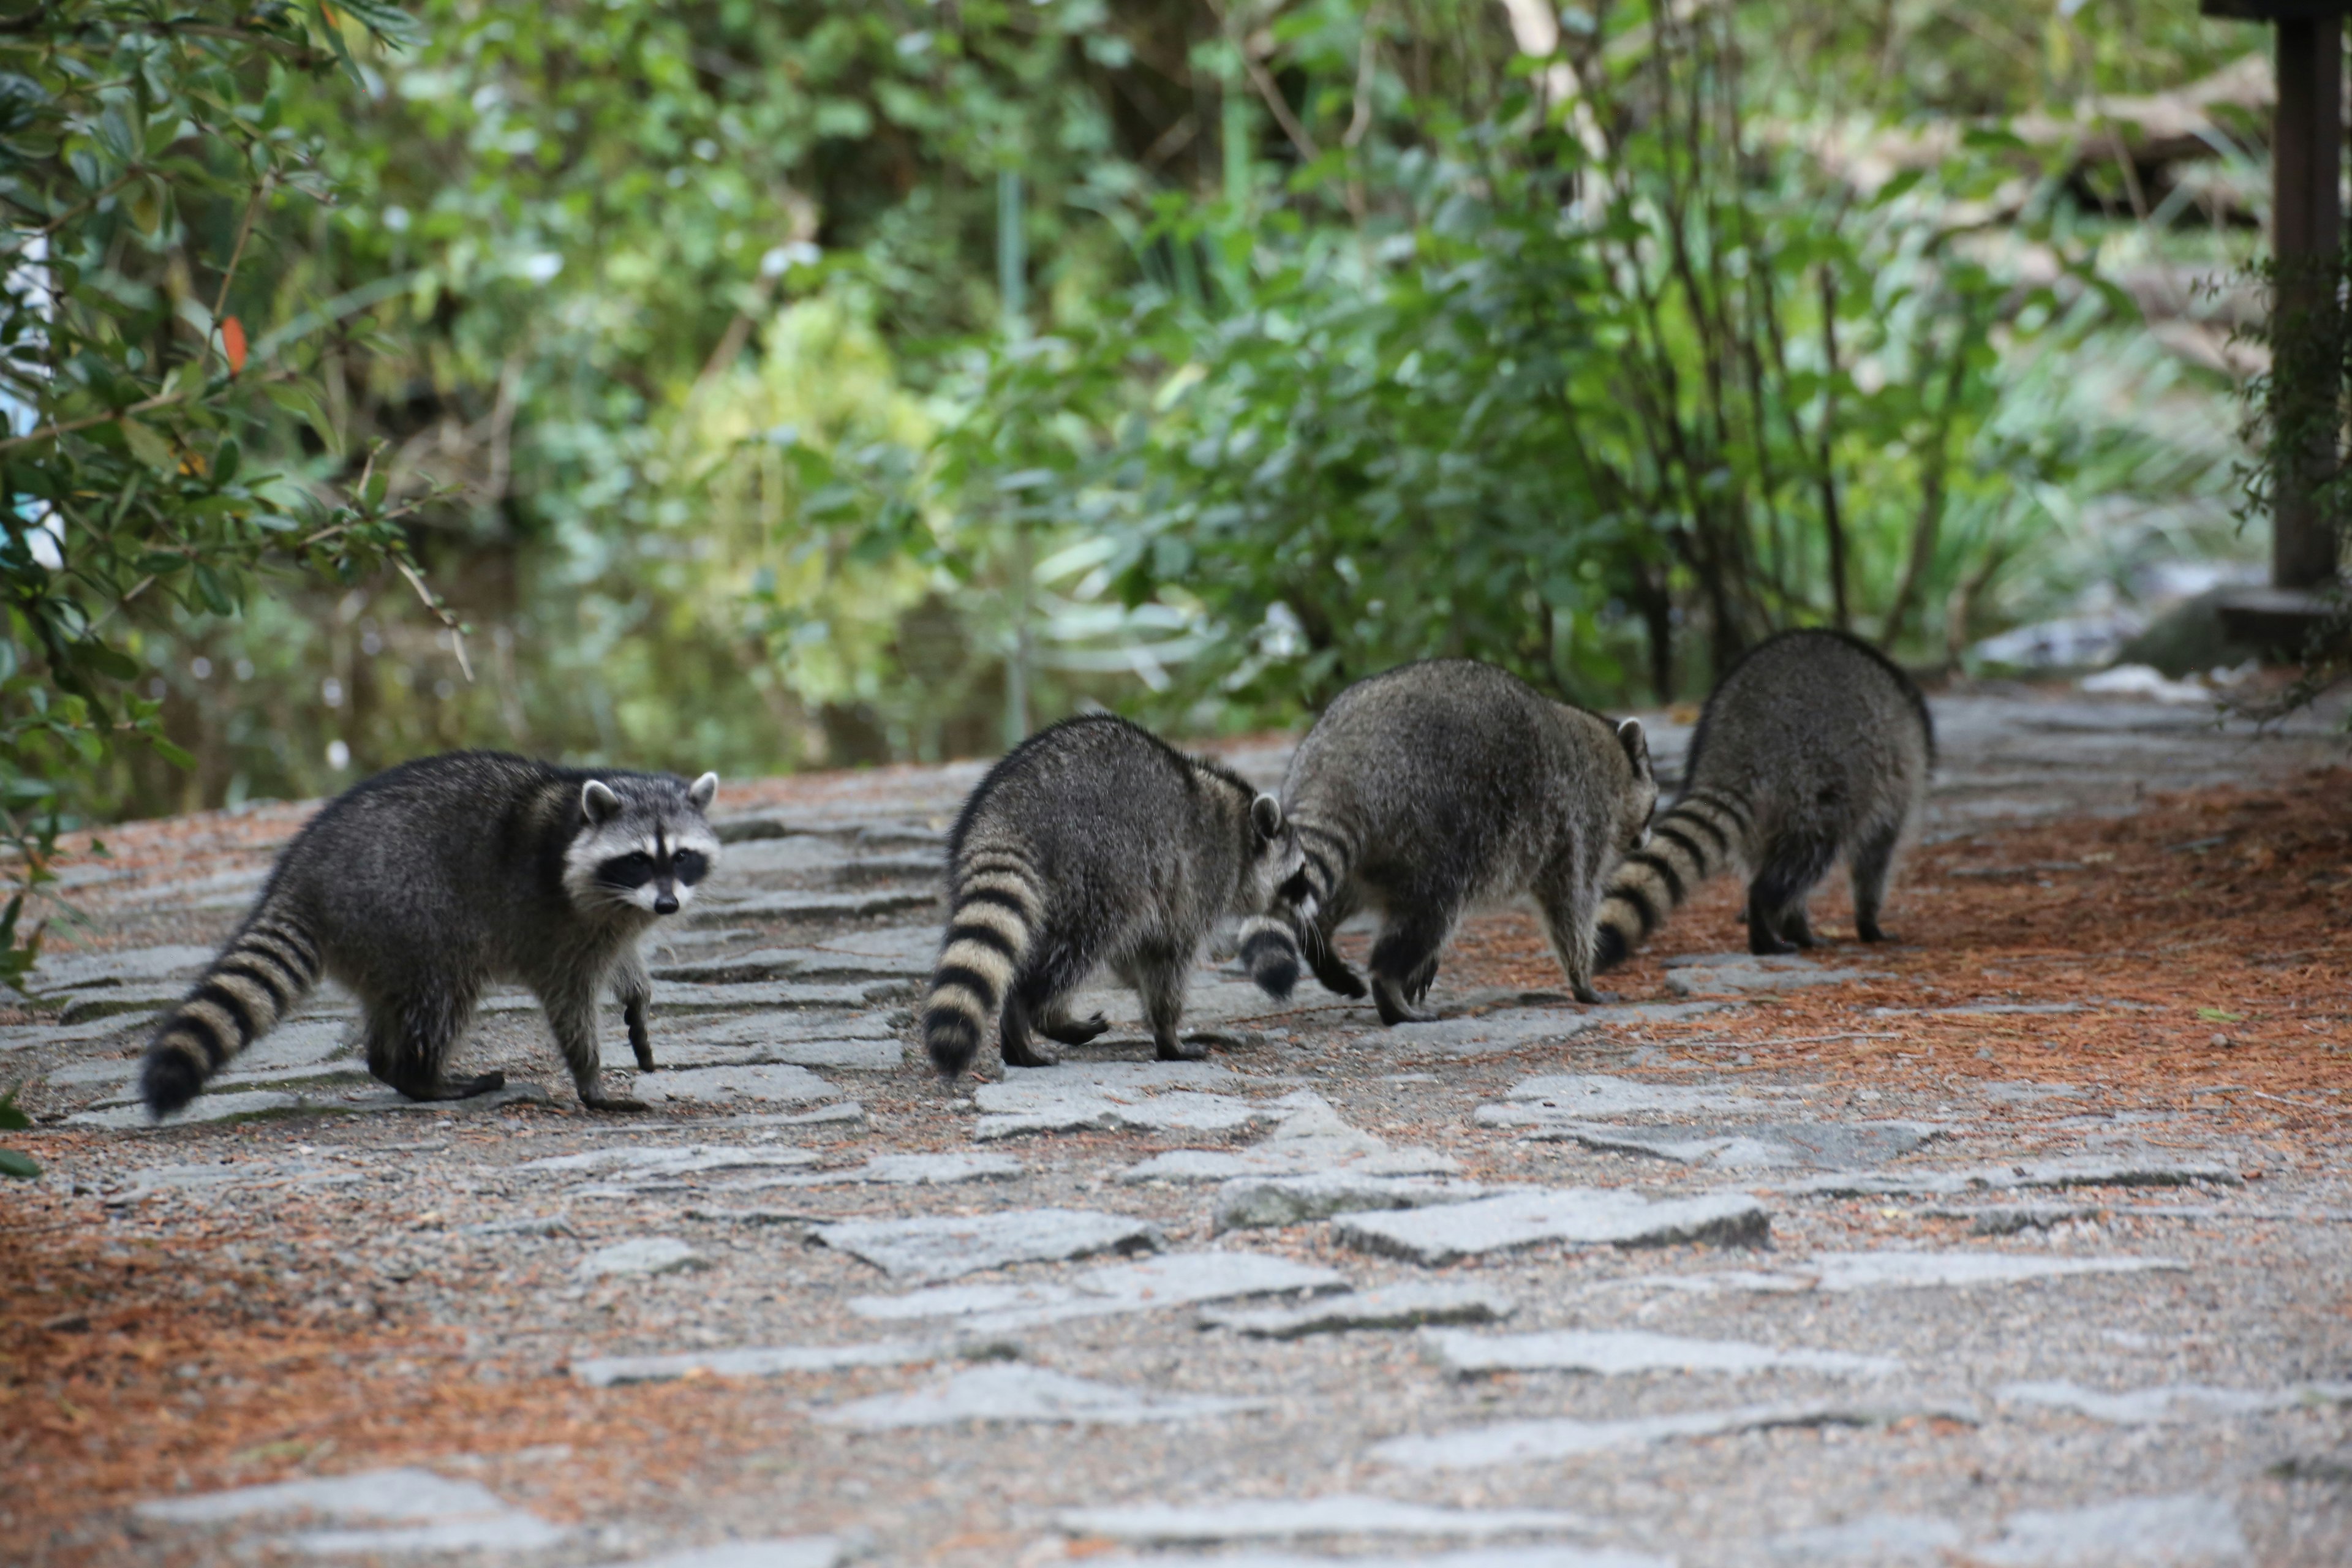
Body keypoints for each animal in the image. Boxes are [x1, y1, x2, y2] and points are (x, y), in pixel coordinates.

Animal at [137, 752, 720, 1123]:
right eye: (638, 859)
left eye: (682, 857)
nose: (668, 906)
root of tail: (301, 875)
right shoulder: (555, 924)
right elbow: (569, 1002)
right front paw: (590, 1078)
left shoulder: (611, 918)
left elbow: (622, 953)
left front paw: (637, 996)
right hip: (409, 911)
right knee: (443, 995)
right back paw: (423, 1076)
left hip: (378, 941)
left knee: (394, 1004)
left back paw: (388, 1066)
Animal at [917, 719, 1308, 1086]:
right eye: (1301, 876)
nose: (1311, 910)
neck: (1240, 830)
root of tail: (1008, 813)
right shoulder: (1194, 884)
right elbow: (1166, 960)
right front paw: (1167, 1032)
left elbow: (1133, 955)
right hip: (1099, 868)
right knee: (1076, 952)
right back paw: (1030, 1014)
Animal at [1232, 658, 1656, 1025]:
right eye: (1653, 803)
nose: (1647, 837)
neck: (1607, 753)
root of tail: (1343, 762)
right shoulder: (1580, 827)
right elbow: (1572, 907)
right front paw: (1582, 976)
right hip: (1437, 829)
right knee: (1430, 913)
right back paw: (1388, 981)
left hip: (1373, 851)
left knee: (1331, 897)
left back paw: (1324, 944)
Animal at [1580, 625, 1928, 968]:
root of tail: (1740, 748)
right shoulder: (1893, 789)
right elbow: (1874, 859)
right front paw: (1868, 922)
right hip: (1819, 782)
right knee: (1804, 857)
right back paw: (1765, 917)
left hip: (1764, 814)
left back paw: (1788, 924)